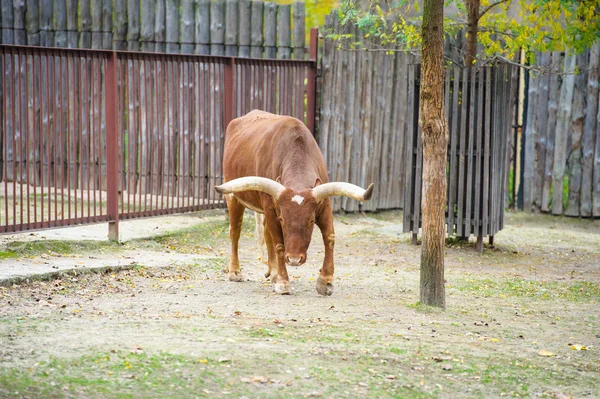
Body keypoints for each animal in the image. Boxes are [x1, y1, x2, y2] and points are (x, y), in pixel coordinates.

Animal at [216, 111, 372, 296]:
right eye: (283, 219)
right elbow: (279, 244)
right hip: (233, 197)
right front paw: (283, 282)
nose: (295, 259)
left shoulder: (324, 205)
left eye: (311, 221)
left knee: (266, 235)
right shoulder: (271, 209)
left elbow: (329, 237)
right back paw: (235, 272)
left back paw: (273, 272)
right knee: (235, 231)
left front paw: (325, 281)